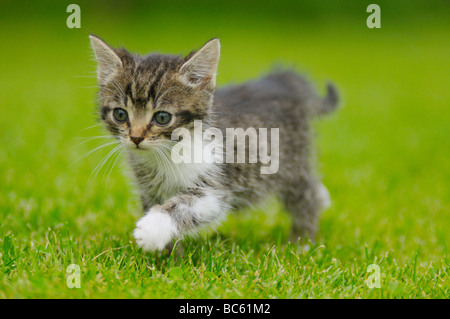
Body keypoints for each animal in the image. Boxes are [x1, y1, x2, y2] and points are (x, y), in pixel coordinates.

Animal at [89, 35, 340, 252]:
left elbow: (186, 204)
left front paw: (152, 228)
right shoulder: (149, 190)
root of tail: (284, 81)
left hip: (292, 161)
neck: (167, 154)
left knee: (307, 196)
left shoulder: (216, 186)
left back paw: (301, 243)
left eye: (162, 117)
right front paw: (169, 259)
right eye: (120, 114)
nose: (136, 137)